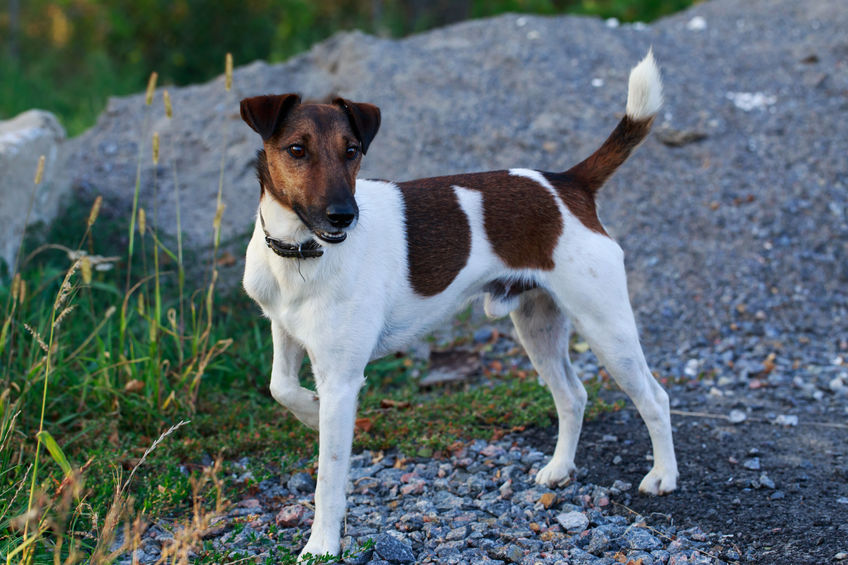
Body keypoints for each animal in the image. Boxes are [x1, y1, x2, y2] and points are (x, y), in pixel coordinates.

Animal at [238, 50, 676, 556]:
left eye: (352, 151)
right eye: (296, 150)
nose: (343, 215)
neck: (301, 253)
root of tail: (568, 184)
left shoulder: (343, 380)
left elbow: (328, 479)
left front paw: (322, 547)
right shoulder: (286, 332)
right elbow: (280, 387)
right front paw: (310, 412)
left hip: (606, 329)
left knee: (654, 397)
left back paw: (663, 476)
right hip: (538, 328)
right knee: (573, 395)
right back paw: (560, 469)